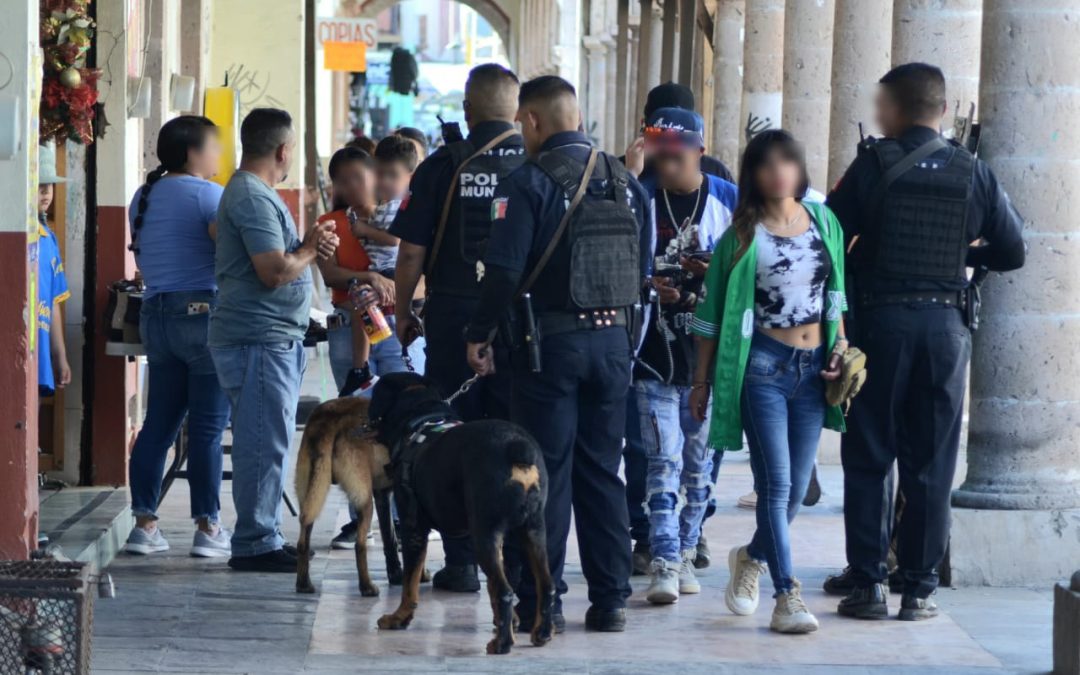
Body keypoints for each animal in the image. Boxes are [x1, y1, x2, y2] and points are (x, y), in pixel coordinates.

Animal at [291, 395, 401, 596]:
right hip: (364, 501)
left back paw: (304, 584)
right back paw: (367, 587)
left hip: (310, 492)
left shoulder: (383, 495)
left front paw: (397, 575)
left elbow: (390, 539)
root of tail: (331, 416)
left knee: (303, 540)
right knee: (360, 545)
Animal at [371, 369, 557, 652]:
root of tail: (517, 447)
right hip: (533, 531)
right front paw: (507, 622)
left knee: (505, 590)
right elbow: (491, 589)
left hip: (484, 533)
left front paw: (399, 618)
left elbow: (409, 582)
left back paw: (501, 644)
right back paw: (541, 632)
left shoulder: (413, 527)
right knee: (544, 585)